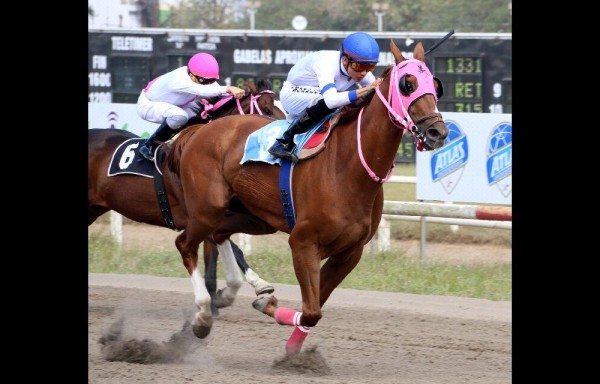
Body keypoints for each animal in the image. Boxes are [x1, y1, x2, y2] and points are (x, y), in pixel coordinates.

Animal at [164, 40, 450, 352]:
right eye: (408, 84)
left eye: (435, 85)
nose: (437, 131)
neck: (347, 166)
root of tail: (198, 131)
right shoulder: (303, 243)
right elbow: (312, 310)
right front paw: (270, 308)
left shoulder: (349, 253)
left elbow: (314, 310)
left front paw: (289, 345)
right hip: (208, 208)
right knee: (185, 244)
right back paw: (203, 315)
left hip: (252, 217)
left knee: (218, 235)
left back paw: (231, 293)